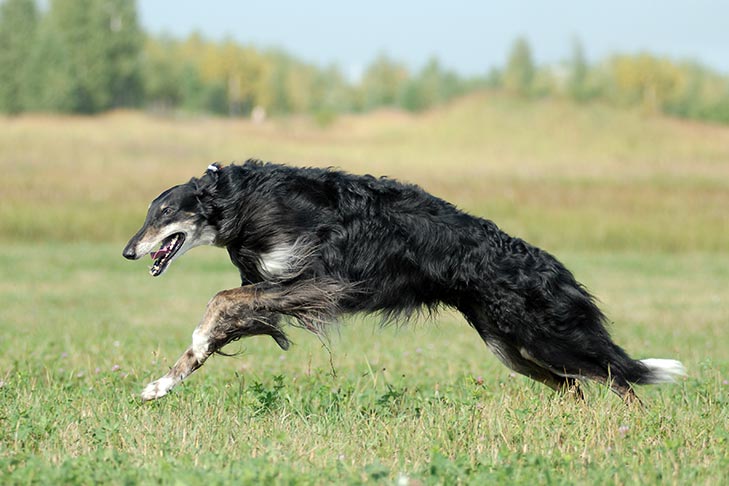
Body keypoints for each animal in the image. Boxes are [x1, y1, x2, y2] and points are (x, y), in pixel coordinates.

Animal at [122, 160, 684, 402]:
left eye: (165, 213)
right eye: (148, 213)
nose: (128, 251)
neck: (239, 199)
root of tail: (550, 265)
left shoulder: (317, 281)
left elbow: (219, 302)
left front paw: (182, 357)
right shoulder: (277, 287)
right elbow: (220, 324)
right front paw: (161, 383)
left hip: (546, 336)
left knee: (618, 377)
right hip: (510, 348)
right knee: (577, 385)